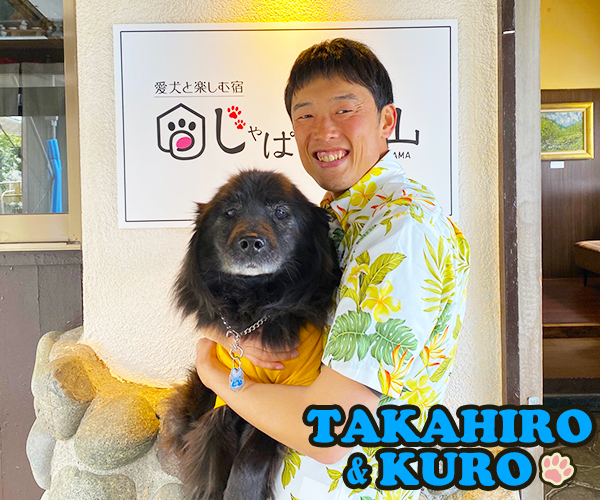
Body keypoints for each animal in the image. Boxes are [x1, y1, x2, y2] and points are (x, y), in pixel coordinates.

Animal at [162, 170, 341, 500]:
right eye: (230, 213)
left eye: (281, 212)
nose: (250, 242)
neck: (254, 303)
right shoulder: (224, 397)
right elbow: (214, 462)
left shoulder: (282, 405)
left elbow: (249, 459)